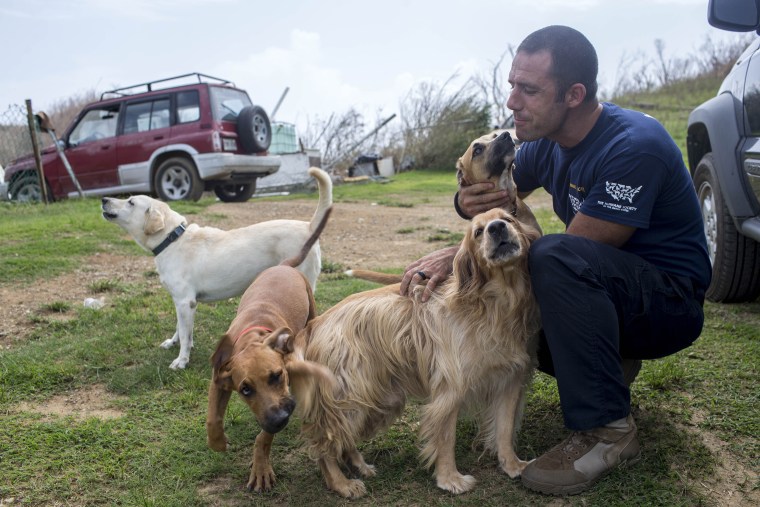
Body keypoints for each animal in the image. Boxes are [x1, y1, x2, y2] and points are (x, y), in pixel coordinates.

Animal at [101, 169, 332, 372]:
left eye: (131, 202)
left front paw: (181, 360)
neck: (172, 239)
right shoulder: (180, 302)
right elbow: (180, 328)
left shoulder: (185, 302)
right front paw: (173, 343)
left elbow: (185, 335)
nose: (103, 198)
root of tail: (309, 226)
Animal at [209, 205, 336, 492]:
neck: (252, 337)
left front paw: (261, 468)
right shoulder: (220, 379)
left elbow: (263, 437)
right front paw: (217, 442)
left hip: (311, 308)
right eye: (245, 390)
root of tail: (283, 266)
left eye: (277, 376)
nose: (279, 420)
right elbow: (212, 418)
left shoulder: (284, 397)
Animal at [296, 207, 540, 500]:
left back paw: (360, 466)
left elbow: (503, 430)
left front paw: (512, 465)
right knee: (324, 445)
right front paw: (450, 479)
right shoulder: (450, 390)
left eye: (509, 219)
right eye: (478, 232)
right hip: (349, 399)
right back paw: (341, 483)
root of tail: (314, 323)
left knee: (342, 440)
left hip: (373, 401)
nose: (496, 228)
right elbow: (445, 439)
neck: (495, 304)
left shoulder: (510, 381)